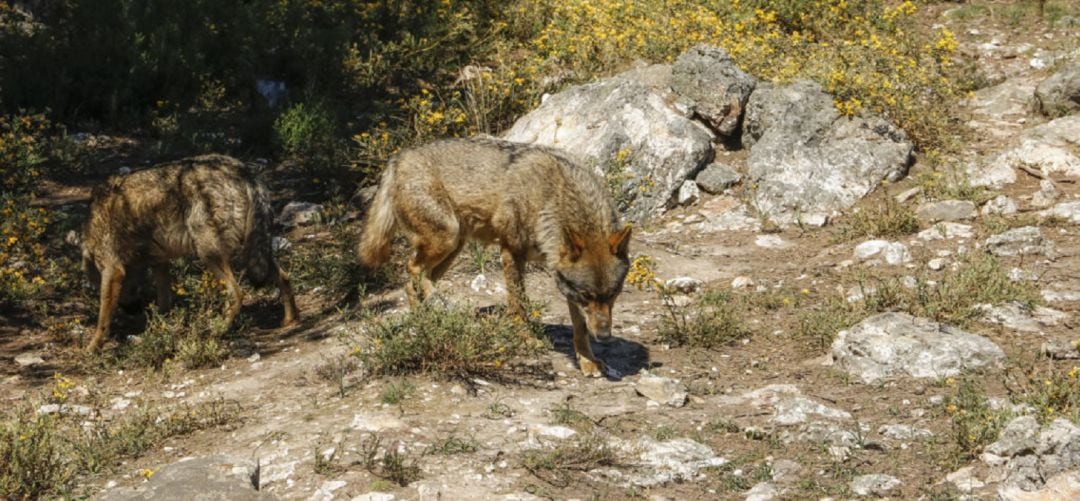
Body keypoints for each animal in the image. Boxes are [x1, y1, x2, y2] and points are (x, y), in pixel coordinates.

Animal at [80, 154, 302, 349]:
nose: (135, 309)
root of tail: (243, 170)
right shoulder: (160, 263)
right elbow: (163, 304)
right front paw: (159, 331)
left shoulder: (113, 270)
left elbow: (103, 318)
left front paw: (93, 346)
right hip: (253, 254)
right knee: (284, 277)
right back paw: (290, 320)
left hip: (211, 255)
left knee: (237, 294)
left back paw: (218, 329)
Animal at [360, 137, 630, 375]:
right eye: (587, 295)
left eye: (614, 294)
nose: (604, 336)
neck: (551, 197)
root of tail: (398, 158)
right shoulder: (511, 252)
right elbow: (519, 304)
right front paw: (527, 339)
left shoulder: (563, 280)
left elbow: (580, 327)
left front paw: (588, 362)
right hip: (447, 237)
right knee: (413, 271)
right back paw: (439, 308)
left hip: (452, 248)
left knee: (411, 282)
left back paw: (428, 320)